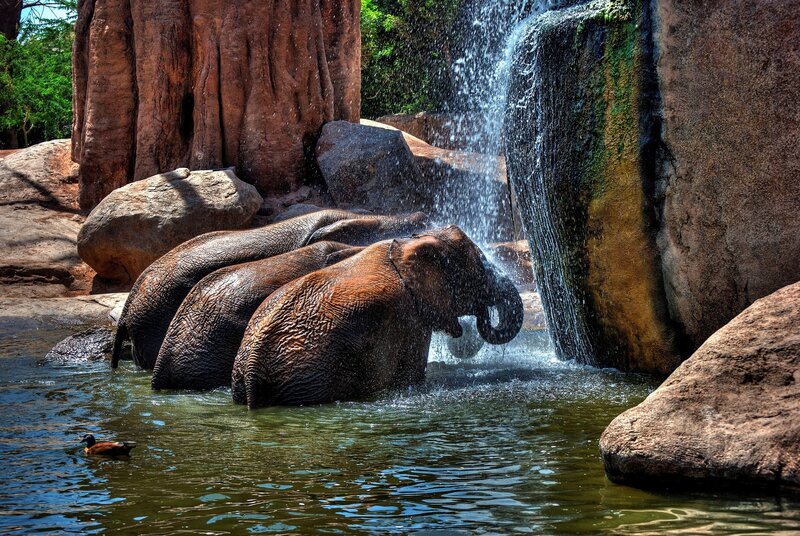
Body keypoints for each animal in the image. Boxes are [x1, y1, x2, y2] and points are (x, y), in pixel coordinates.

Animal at [231, 225, 524, 408]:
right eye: (480, 270)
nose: (481, 315)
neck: (408, 242)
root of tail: (254, 366)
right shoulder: (410, 318)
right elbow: (412, 375)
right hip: (311, 379)